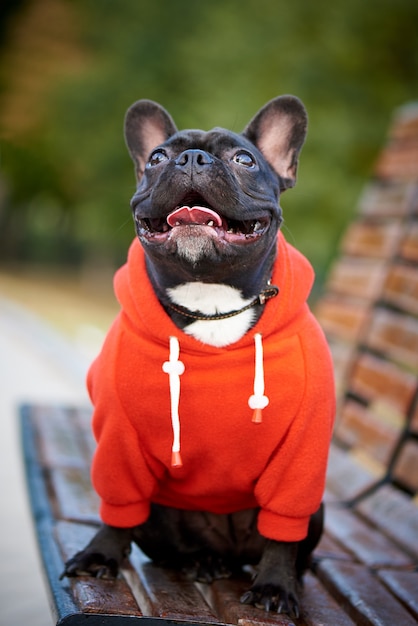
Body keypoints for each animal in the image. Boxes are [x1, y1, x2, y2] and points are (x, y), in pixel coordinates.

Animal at [62, 95, 336, 616]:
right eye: (156, 158)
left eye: (244, 159)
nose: (192, 159)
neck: (211, 305)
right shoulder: (118, 435)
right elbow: (115, 506)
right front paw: (99, 555)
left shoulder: (301, 456)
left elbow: (282, 536)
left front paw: (275, 586)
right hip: (160, 512)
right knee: (174, 545)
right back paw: (202, 562)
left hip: (315, 509)